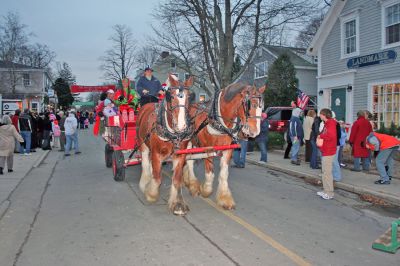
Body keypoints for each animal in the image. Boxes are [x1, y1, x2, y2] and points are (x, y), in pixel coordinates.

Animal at [138, 74, 194, 215]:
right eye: (171, 96)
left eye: (189, 97)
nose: (181, 126)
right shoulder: (156, 153)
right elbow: (157, 178)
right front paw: (151, 193)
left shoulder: (180, 155)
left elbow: (177, 179)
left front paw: (177, 204)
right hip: (142, 144)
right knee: (145, 162)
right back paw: (144, 183)